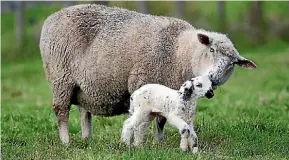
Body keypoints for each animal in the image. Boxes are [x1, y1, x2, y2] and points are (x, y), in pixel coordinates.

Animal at [38, 4, 256, 144]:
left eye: (233, 63)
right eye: (211, 49)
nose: (213, 77)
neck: (179, 52)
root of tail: (51, 18)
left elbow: (161, 120)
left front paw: (159, 142)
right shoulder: (143, 83)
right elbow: (144, 121)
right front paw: (139, 143)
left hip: (84, 86)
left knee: (85, 112)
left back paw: (87, 139)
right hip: (61, 78)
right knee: (61, 110)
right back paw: (66, 142)